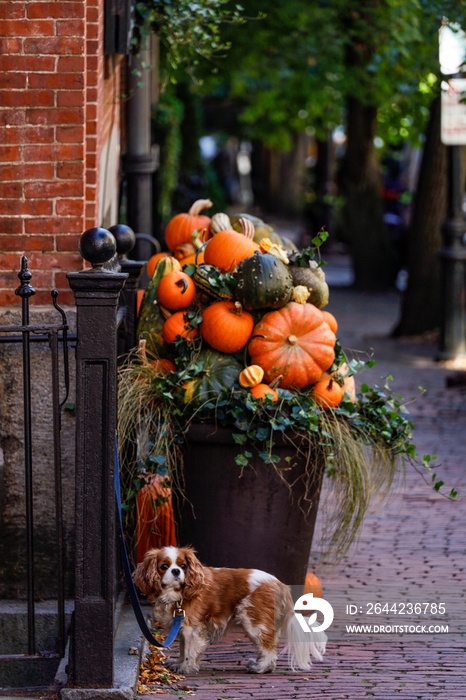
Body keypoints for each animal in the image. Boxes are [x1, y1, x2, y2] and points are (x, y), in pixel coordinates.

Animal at [133, 544, 326, 676]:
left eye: (183, 566)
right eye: (164, 566)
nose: (175, 571)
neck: (177, 594)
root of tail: (279, 584)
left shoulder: (191, 628)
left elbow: (189, 651)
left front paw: (186, 668)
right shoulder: (181, 628)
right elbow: (182, 648)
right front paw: (178, 663)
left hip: (255, 623)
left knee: (269, 650)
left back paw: (260, 668)